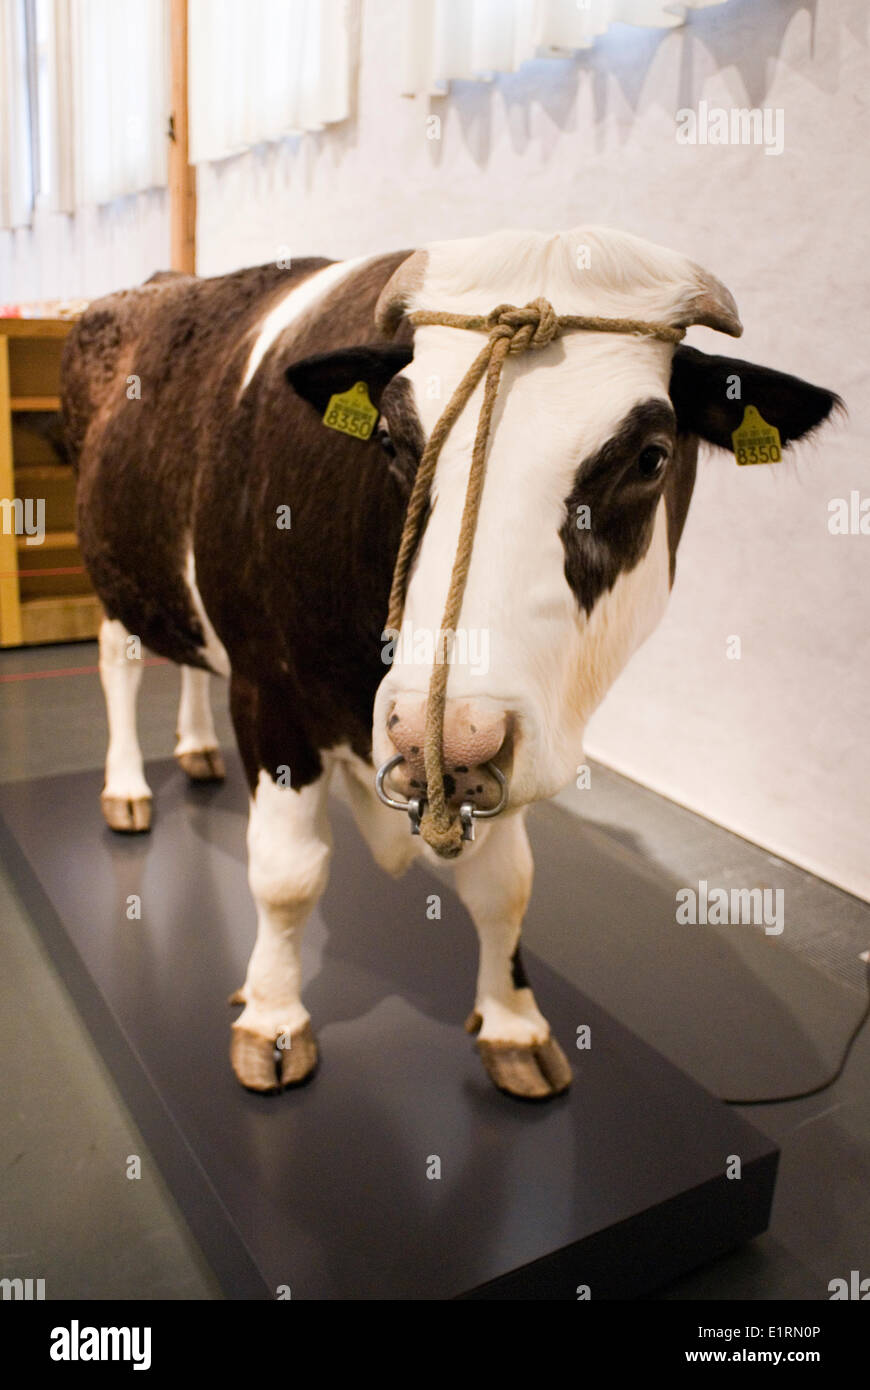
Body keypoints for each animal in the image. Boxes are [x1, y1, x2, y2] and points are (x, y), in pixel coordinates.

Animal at [61, 225, 840, 1100]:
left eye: (649, 457)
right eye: (392, 442)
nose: (441, 735)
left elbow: (507, 886)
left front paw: (513, 1023)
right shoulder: (270, 696)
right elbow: (288, 874)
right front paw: (271, 1017)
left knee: (191, 658)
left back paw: (195, 750)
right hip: (113, 563)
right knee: (119, 657)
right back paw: (126, 789)